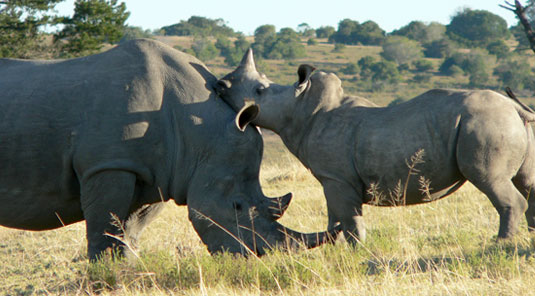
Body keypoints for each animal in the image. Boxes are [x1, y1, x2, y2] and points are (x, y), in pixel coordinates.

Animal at [0, 39, 340, 262]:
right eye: (237, 206)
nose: (255, 258)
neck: (199, 132)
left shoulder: (156, 173)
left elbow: (128, 233)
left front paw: (126, 272)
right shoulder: (109, 164)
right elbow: (103, 230)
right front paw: (103, 276)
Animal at [216, 49, 535, 245]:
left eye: (259, 90)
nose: (221, 83)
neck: (298, 107)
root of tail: (516, 109)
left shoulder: (337, 178)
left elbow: (350, 219)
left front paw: (357, 251)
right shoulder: (333, 179)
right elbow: (335, 217)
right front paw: (333, 248)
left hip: (485, 123)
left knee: (489, 179)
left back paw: (499, 243)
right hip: (506, 124)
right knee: (527, 182)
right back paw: (529, 238)